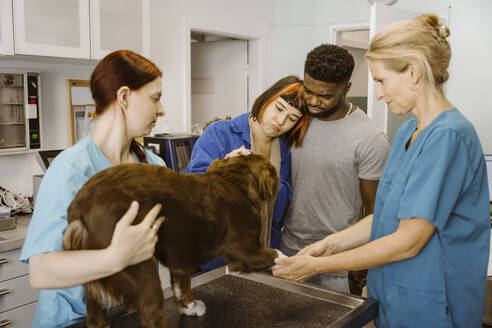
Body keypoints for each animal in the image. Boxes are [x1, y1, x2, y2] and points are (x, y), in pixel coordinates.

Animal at [61, 154, 280, 328]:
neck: (233, 180)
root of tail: (81, 207)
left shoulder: (180, 257)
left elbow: (181, 284)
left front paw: (190, 307)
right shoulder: (246, 250)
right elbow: (276, 254)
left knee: (93, 310)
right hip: (137, 264)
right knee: (150, 311)